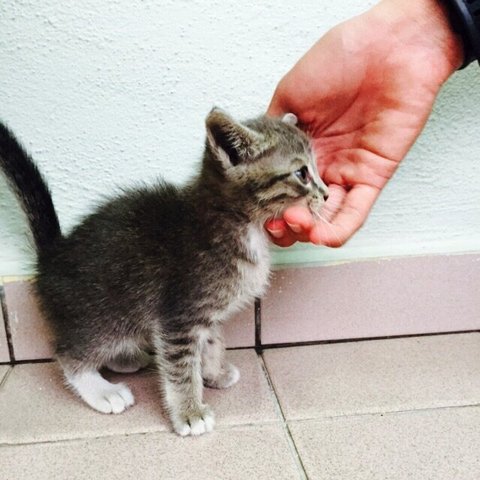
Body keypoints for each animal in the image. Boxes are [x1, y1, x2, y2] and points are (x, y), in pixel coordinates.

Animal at [0, 109, 328, 436]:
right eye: (302, 173)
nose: (326, 194)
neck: (238, 223)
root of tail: (53, 254)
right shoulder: (179, 315)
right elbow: (181, 369)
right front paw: (190, 412)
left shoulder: (205, 312)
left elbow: (212, 341)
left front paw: (213, 371)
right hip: (105, 314)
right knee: (69, 352)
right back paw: (101, 390)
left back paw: (128, 360)